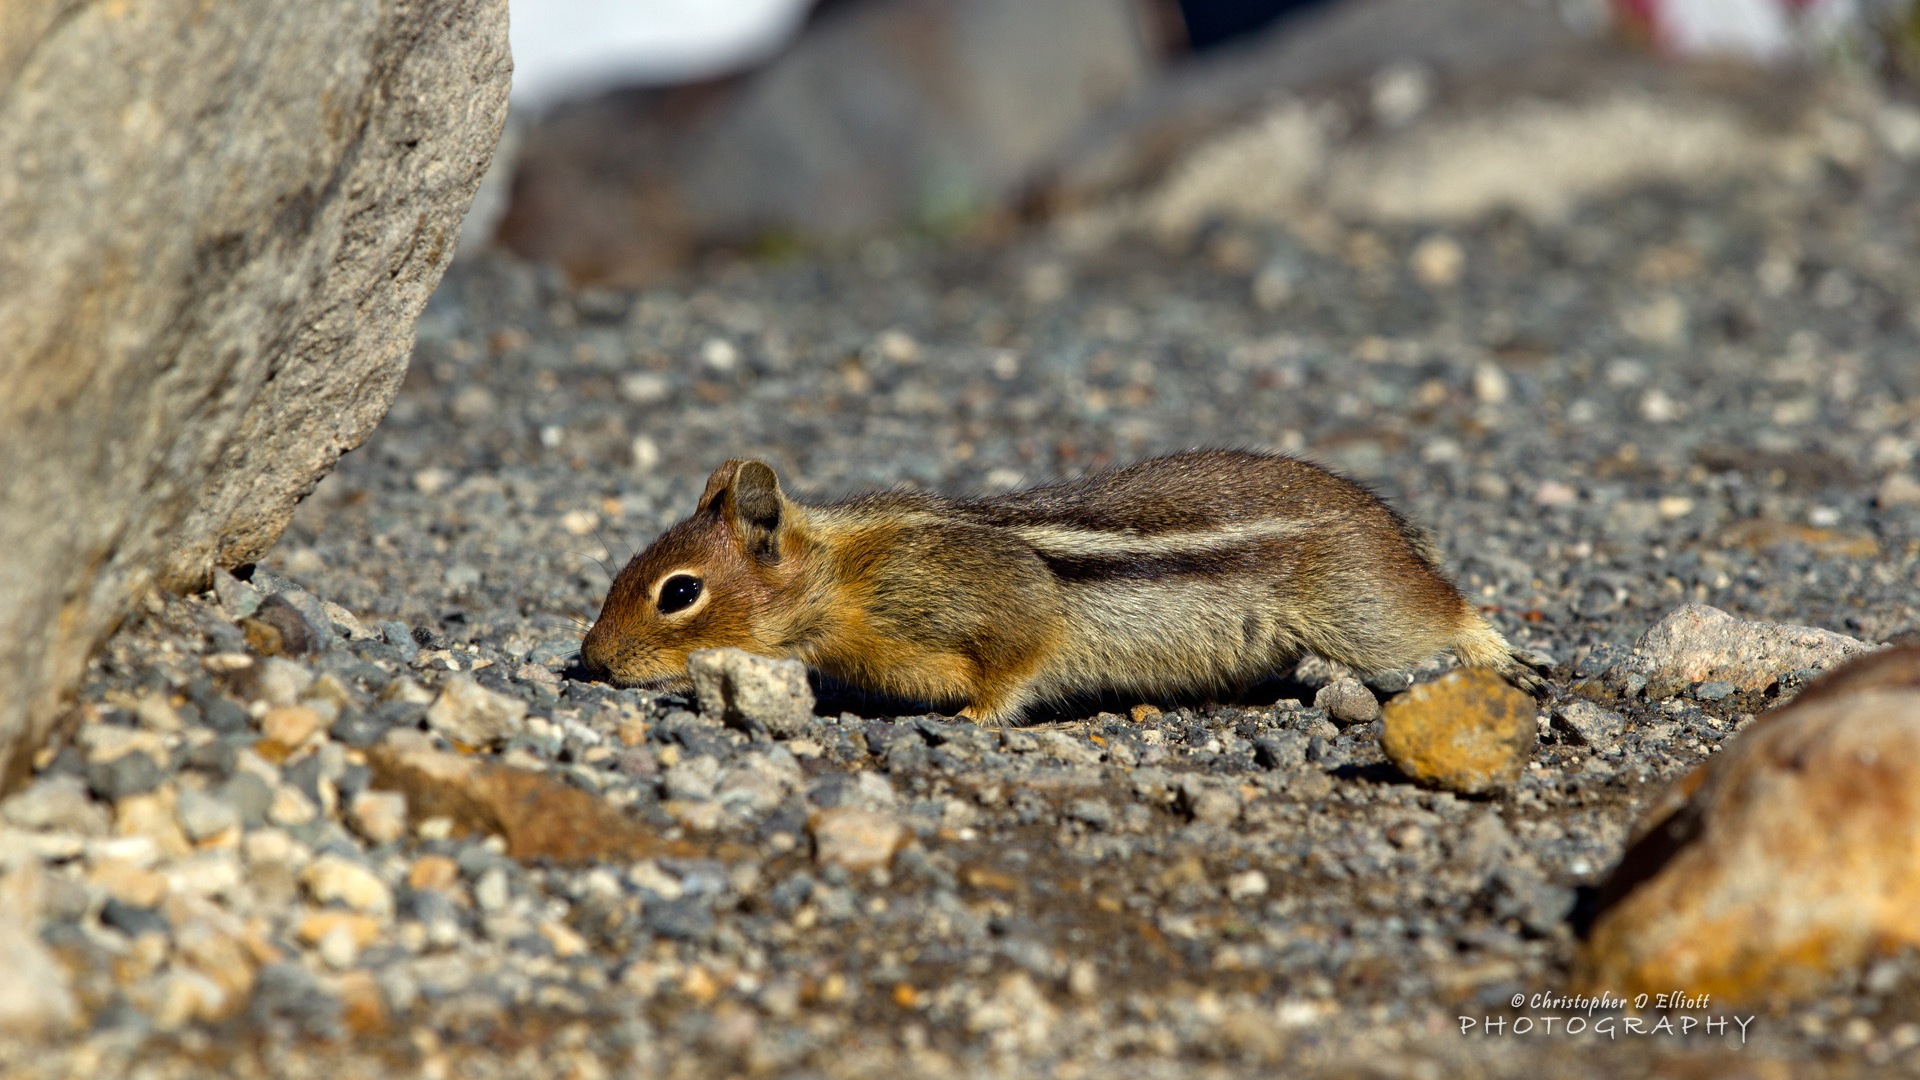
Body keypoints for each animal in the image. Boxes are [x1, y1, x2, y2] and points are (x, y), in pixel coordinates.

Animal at [579, 445, 1543, 722]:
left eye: (678, 593)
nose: (588, 661)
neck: (842, 577)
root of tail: (1390, 523)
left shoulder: (1004, 606)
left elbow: (1015, 666)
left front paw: (971, 720)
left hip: (1368, 610)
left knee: (1444, 612)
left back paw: (1505, 656)